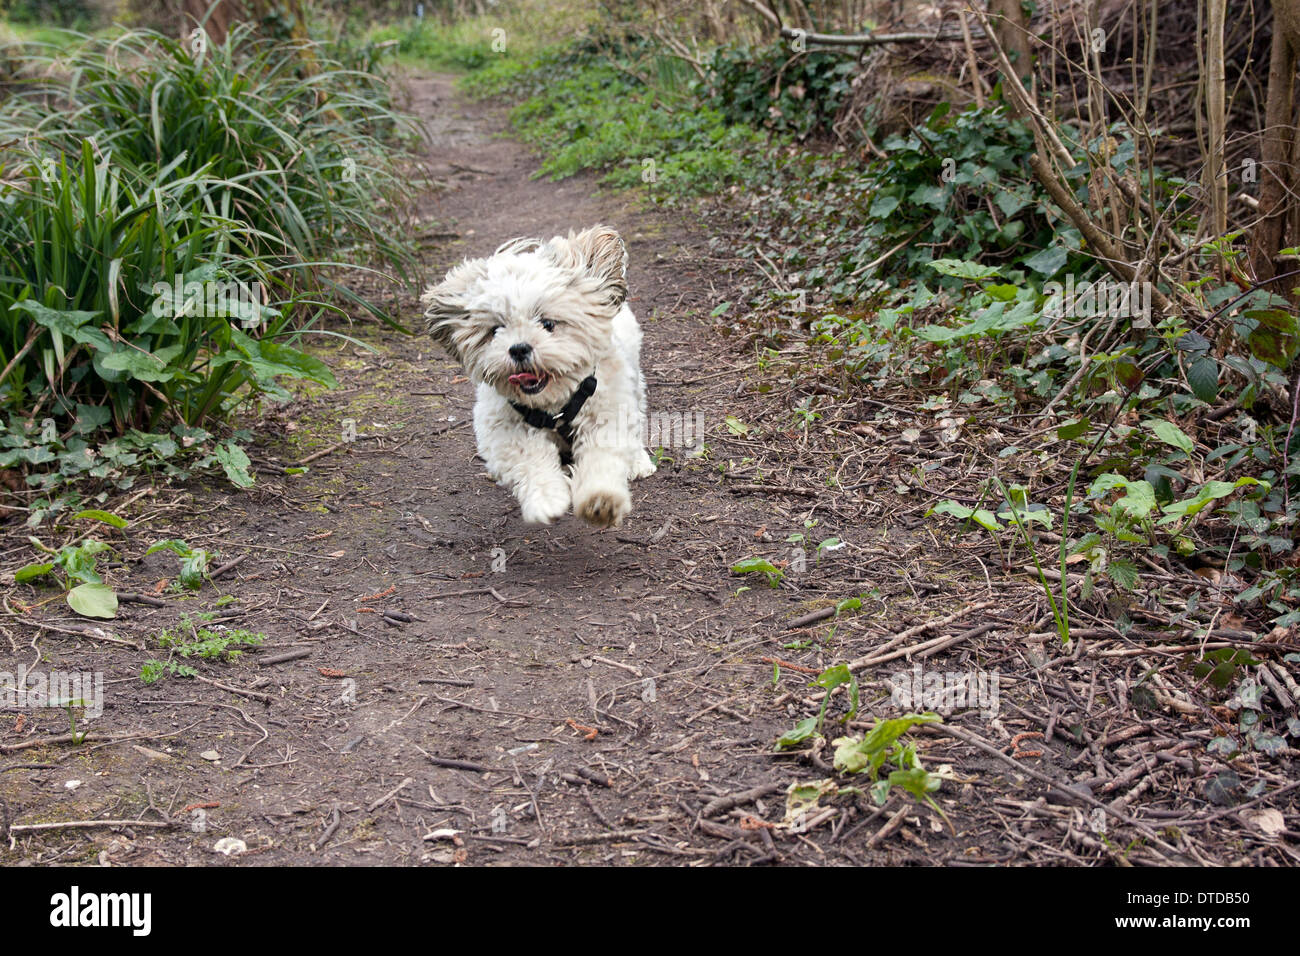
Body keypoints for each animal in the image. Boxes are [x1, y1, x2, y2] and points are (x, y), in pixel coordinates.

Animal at [421, 223, 655, 528]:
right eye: (495, 330)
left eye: (548, 324)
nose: (519, 348)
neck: (554, 407)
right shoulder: (504, 429)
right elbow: (530, 461)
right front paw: (546, 498)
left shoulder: (607, 412)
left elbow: (603, 457)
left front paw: (601, 500)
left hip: (634, 379)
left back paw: (639, 462)